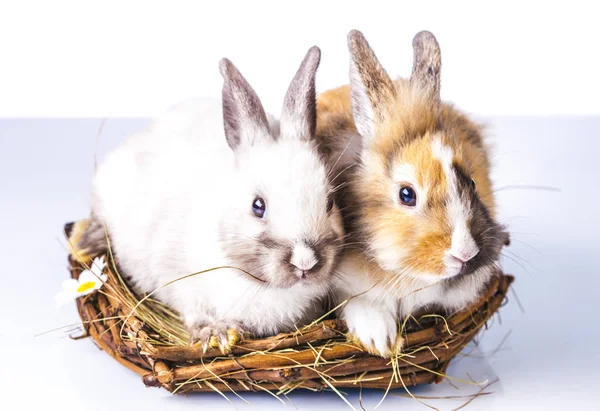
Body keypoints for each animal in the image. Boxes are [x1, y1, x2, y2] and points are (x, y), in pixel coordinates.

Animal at [77, 46, 344, 352]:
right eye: (258, 206)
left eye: (330, 202)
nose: (305, 263)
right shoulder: (174, 274)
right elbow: (193, 308)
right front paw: (216, 334)